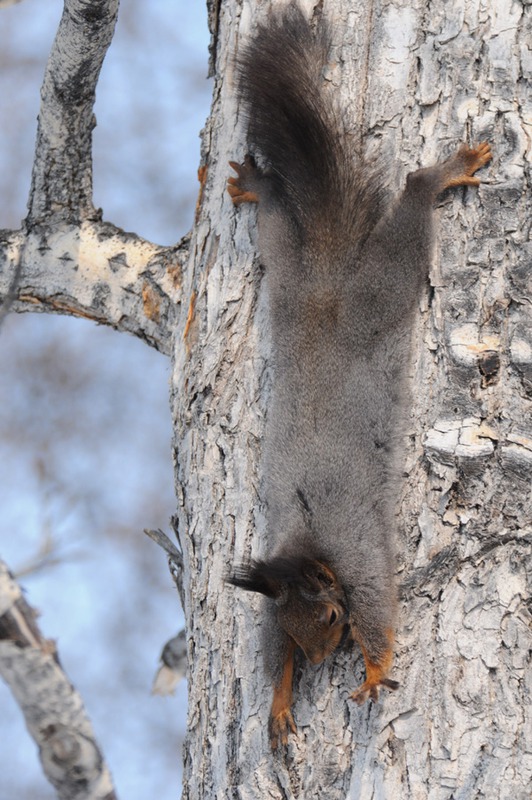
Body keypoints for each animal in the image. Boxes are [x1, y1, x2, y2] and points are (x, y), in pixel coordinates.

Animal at [227, 3, 492, 752]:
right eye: (294, 629)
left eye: (328, 619)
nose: (320, 663)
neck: (305, 549)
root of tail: (328, 275)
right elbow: (269, 657)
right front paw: (280, 697)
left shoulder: (360, 557)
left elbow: (380, 610)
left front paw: (374, 672)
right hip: (286, 272)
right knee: (277, 217)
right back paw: (258, 185)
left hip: (384, 289)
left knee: (411, 203)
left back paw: (441, 175)